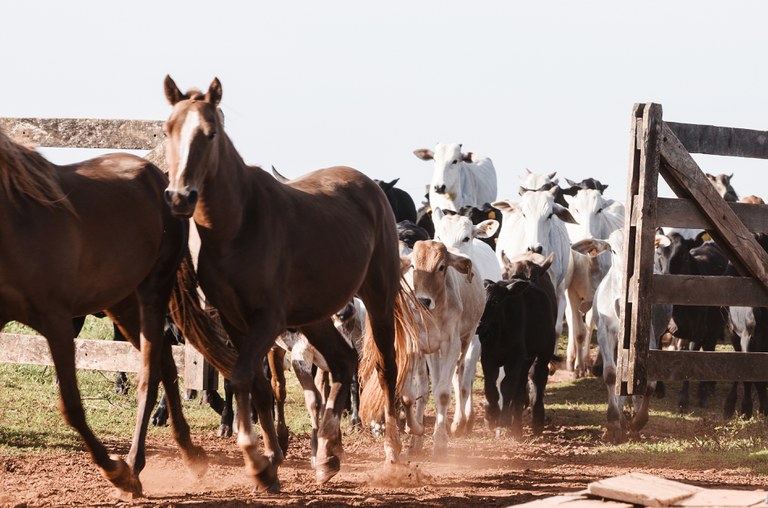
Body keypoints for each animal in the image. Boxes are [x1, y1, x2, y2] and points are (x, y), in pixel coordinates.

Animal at [0, 126, 219, 496]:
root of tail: (158, 177)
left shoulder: (58, 321)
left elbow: (71, 406)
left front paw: (116, 471)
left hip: (152, 293)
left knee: (150, 374)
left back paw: (133, 466)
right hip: (123, 304)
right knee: (165, 364)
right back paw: (191, 456)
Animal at [162, 74, 414, 488]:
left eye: (210, 133)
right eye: (169, 129)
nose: (181, 196)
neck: (239, 226)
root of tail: (369, 185)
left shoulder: (267, 320)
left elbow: (243, 378)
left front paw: (256, 461)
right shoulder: (236, 322)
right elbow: (260, 387)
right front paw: (271, 460)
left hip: (377, 296)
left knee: (385, 369)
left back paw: (392, 455)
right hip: (315, 317)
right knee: (343, 362)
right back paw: (327, 454)